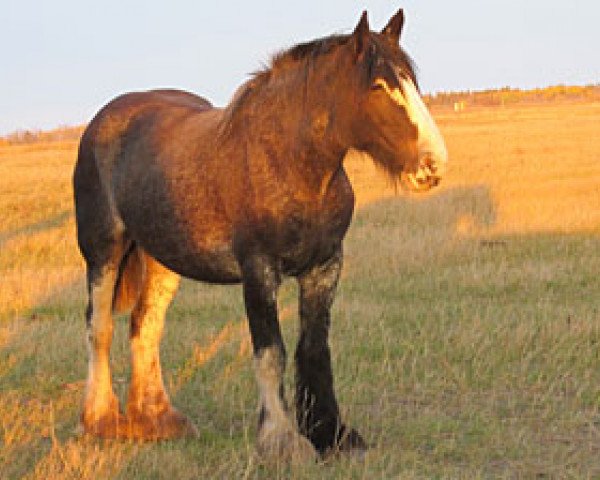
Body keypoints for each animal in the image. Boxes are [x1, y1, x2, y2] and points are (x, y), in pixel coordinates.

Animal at [72, 8, 448, 462]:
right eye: (378, 86)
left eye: (412, 80)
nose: (433, 166)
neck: (287, 162)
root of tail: (106, 118)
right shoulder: (258, 271)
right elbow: (271, 354)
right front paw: (281, 441)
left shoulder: (325, 267)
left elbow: (314, 350)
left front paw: (333, 435)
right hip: (103, 250)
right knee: (100, 325)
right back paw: (100, 419)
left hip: (163, 260)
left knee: (145, 325)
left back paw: (157, 419)